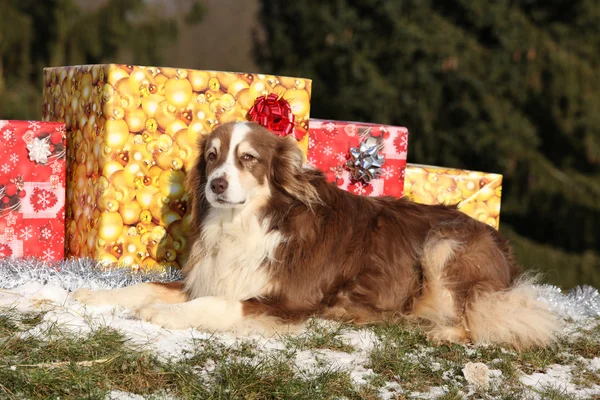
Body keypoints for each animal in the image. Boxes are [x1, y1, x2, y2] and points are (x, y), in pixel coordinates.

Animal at [74, 121, 556, 350]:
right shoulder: (207, 278)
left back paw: (444, 333)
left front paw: (164, 314)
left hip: (445, 244)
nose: (216, 185)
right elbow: (143, 286)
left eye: (248, 159)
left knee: (484, 319)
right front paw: (92, 296)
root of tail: (504, 249)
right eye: (211, 157)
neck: (248, 223)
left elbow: (217, 306)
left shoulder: (290, 301)